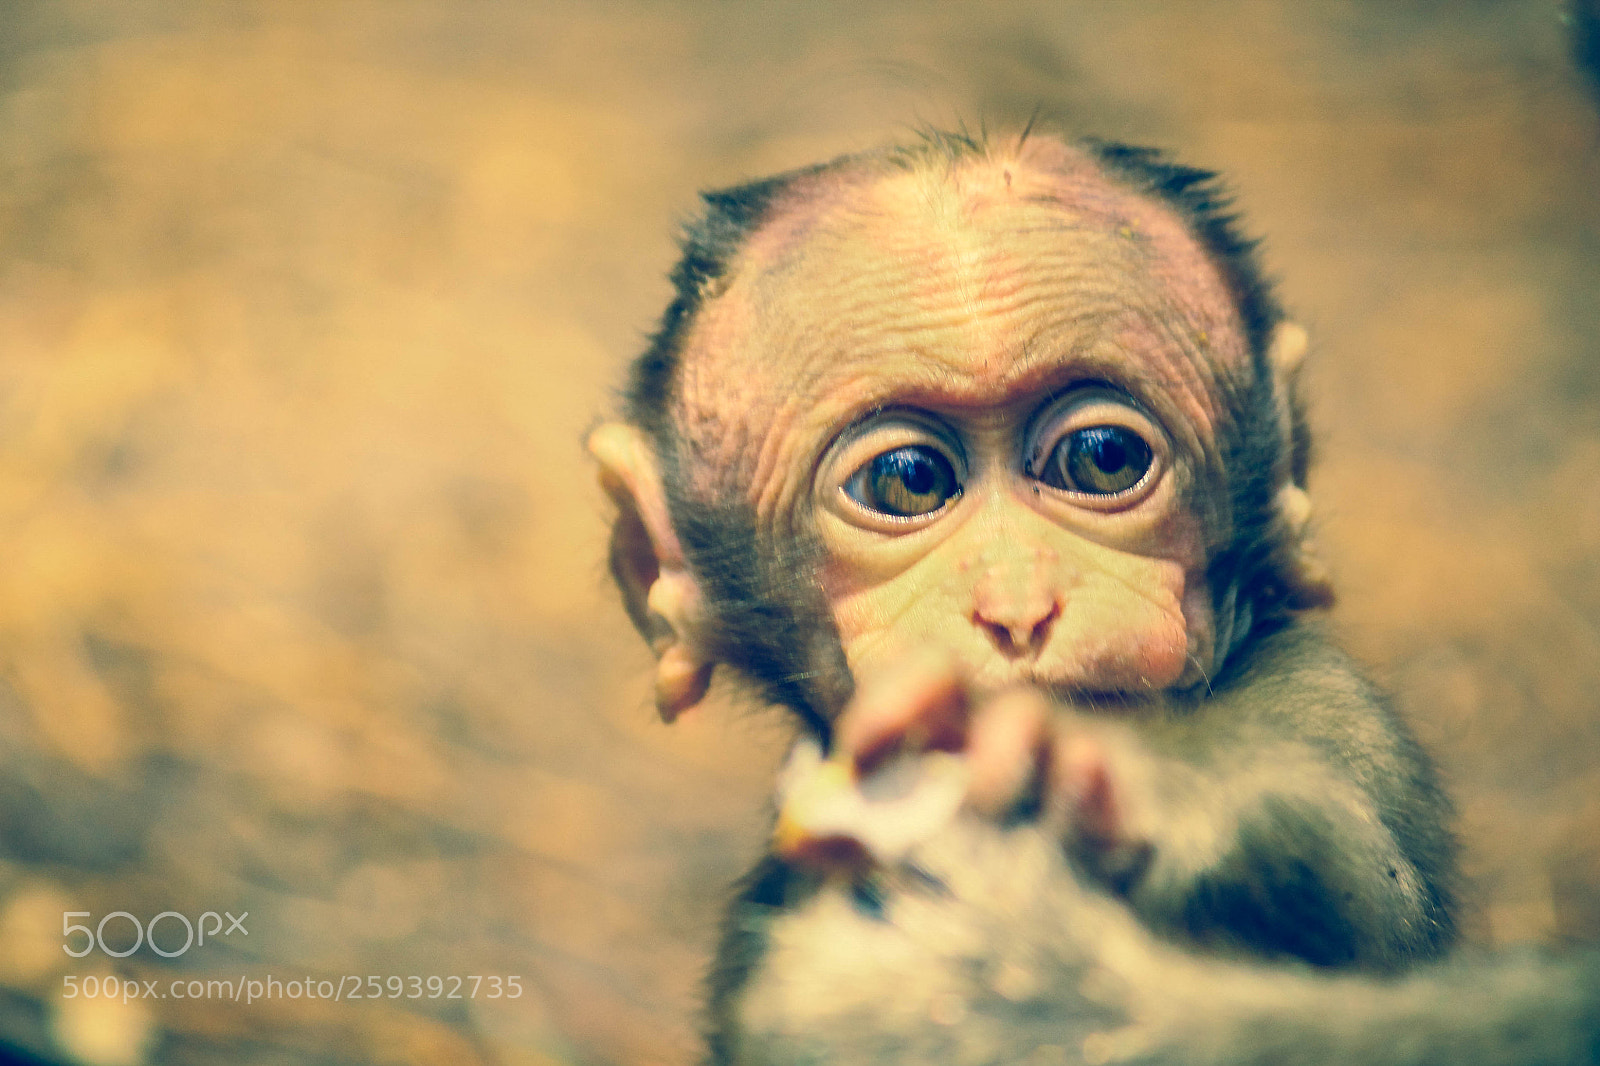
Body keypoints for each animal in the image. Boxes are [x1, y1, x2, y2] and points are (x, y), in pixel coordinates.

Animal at [588, 130, 1503, 1061]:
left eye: (1103, 458)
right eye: (907, 479)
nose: (1020, 607)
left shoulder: (1331, 707)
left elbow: (1368, 890)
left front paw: (1086, 775)